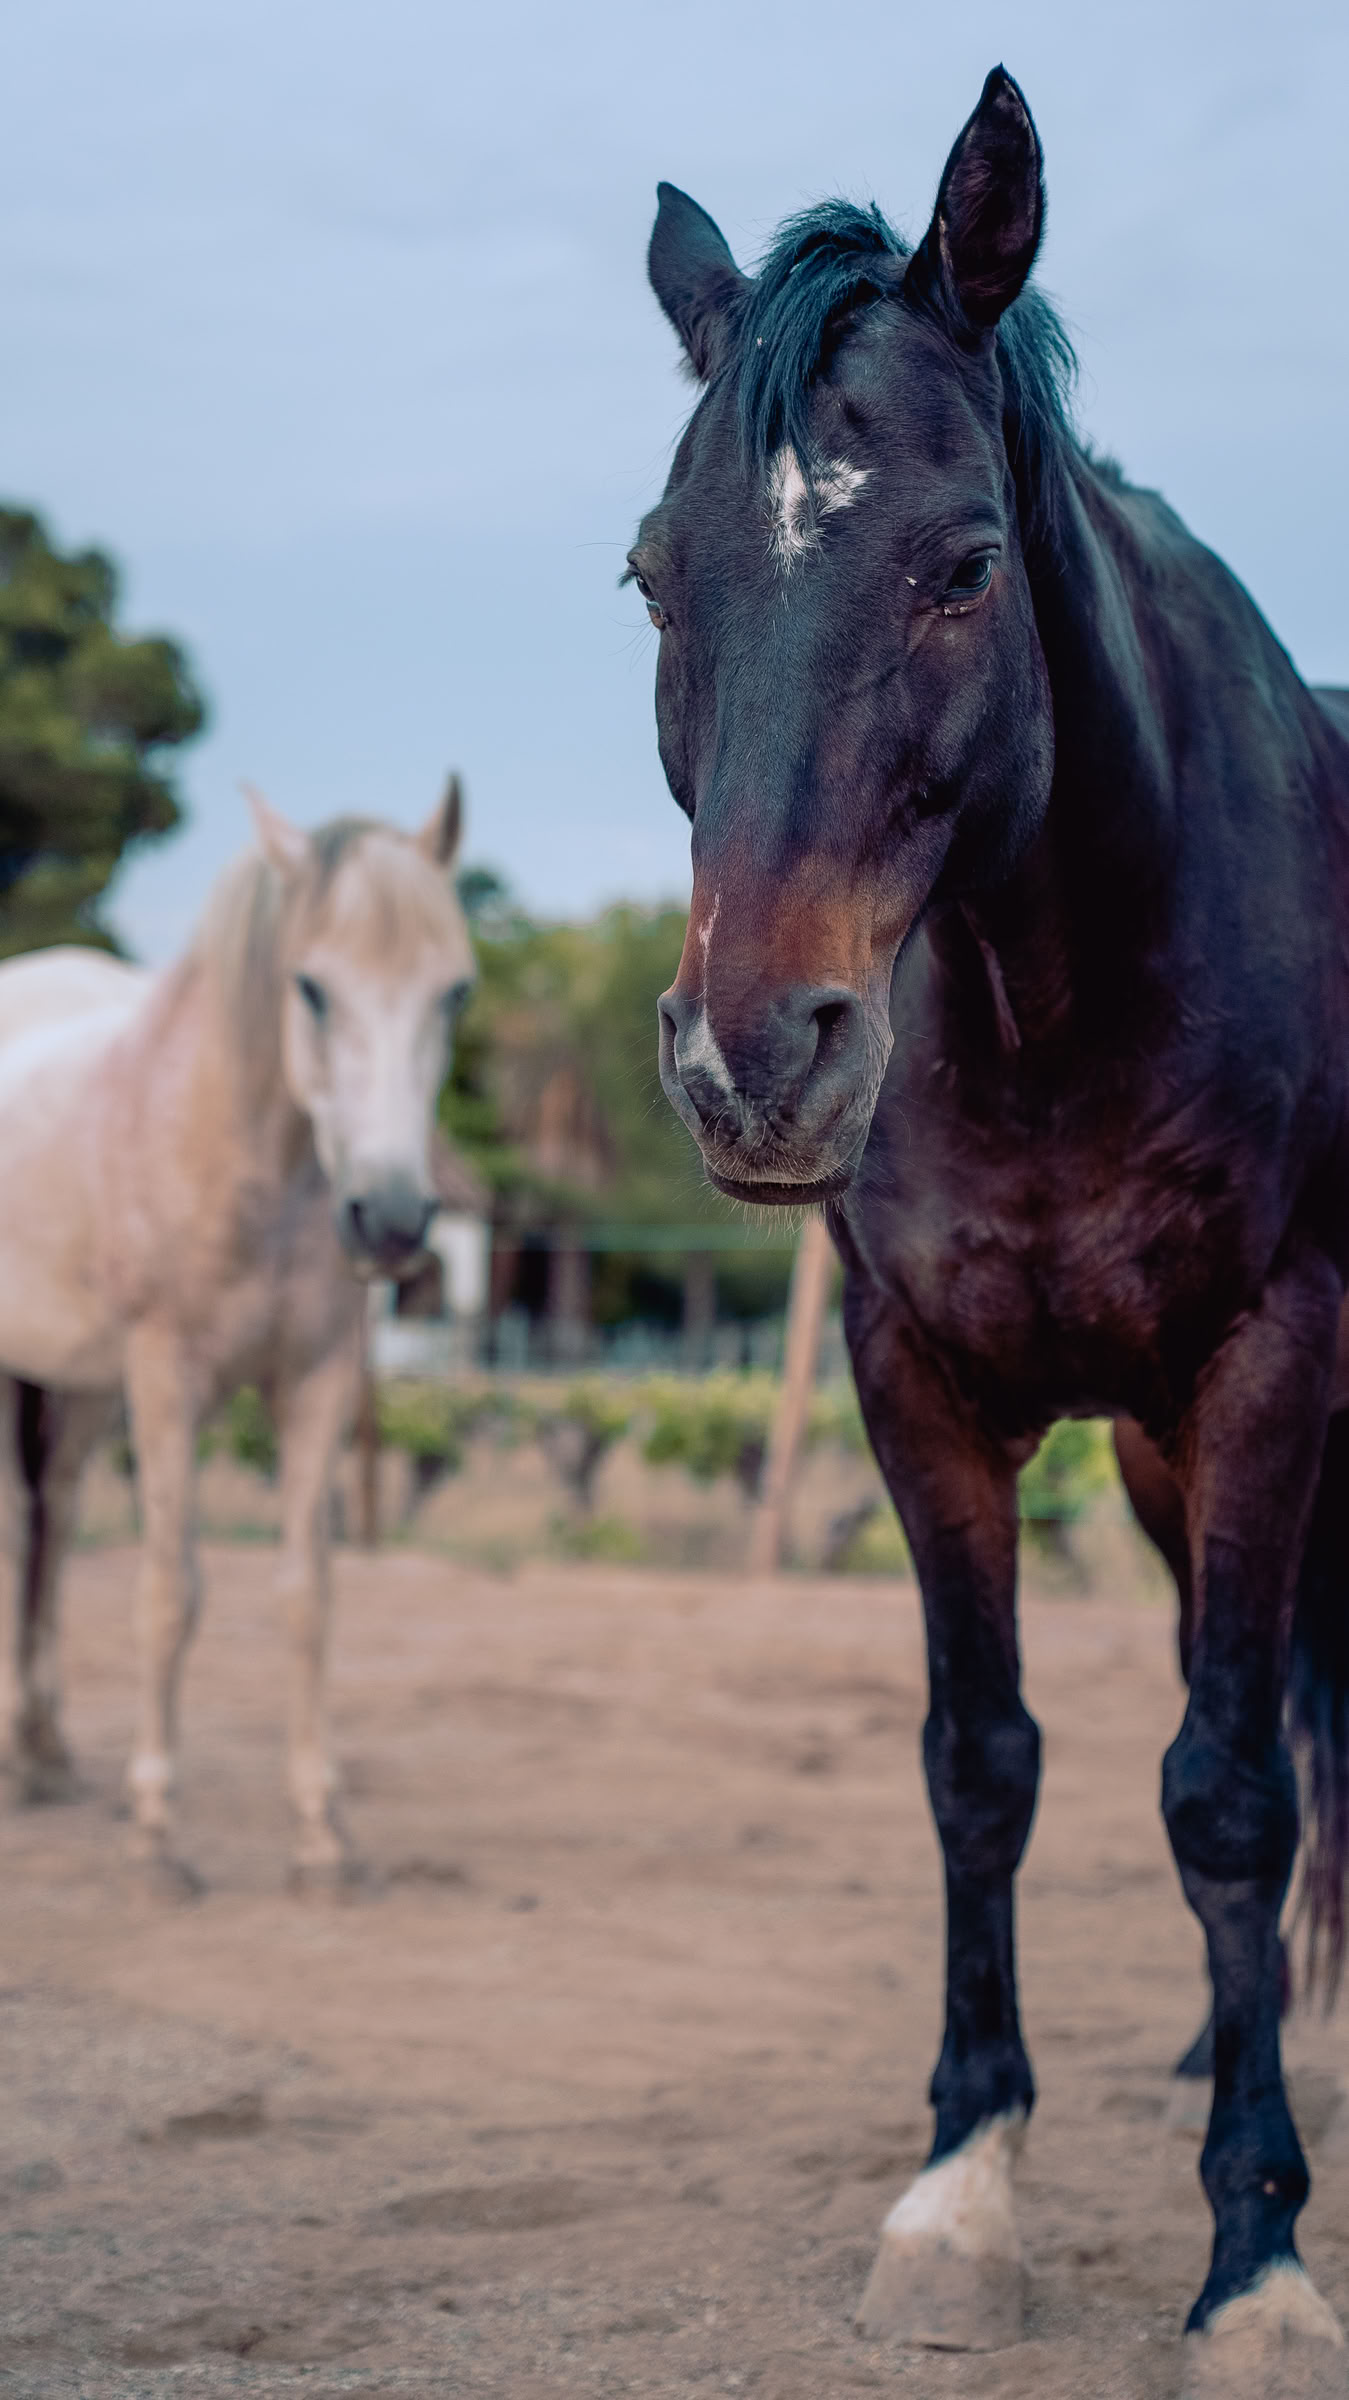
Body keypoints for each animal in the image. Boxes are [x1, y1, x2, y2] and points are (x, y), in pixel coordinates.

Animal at [0, 779, 474, 1894]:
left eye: (453, 994)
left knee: (48, 1524)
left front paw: (319, 1833)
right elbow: (169, 1591)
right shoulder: (164, 1379)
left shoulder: (317, 1381)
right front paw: (156, 1829)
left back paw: (40, 1753)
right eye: (310, 988)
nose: (392, 1220)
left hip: (74, 1389)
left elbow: (308, 1597)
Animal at [633, 67, 1349, 2398]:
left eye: (960, 566)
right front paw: (960, 2194)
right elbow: (982, 1767)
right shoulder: (921, 1387)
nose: (752, 1055)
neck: (1055, 998)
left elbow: (1220, 1796)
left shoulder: (1270, 1361)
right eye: (651, 573)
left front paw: (1254, 2259)